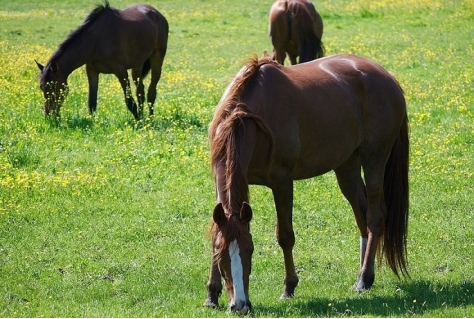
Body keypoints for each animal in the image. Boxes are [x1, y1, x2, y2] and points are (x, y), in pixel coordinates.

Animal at [35, 0, 168, 120]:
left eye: (53, 86)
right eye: (41, 87)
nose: (49, 115)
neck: (97, 40)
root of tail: (157, 14)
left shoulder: (121, 71)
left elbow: (129, 101)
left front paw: (138, 122)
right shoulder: (92, 71)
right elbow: (92, 102)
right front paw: (93, 123)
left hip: (157, 57)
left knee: (151, 92)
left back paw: (150, 119)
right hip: (137, 64)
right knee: (140, 91)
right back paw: (143, 115)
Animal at [204, 54, 408, 316]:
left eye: (249, 250)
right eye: (221, 254)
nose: (240, 305)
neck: (249, 114)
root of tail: (388, 78)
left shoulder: (282, 182)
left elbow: (285, 236)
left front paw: (289, 287)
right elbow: (216, 231)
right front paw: (211, 295)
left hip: (375, 158)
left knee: (374, 217)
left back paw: (364, 278)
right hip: (347, 166)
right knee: (361, 214)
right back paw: (365, 276)